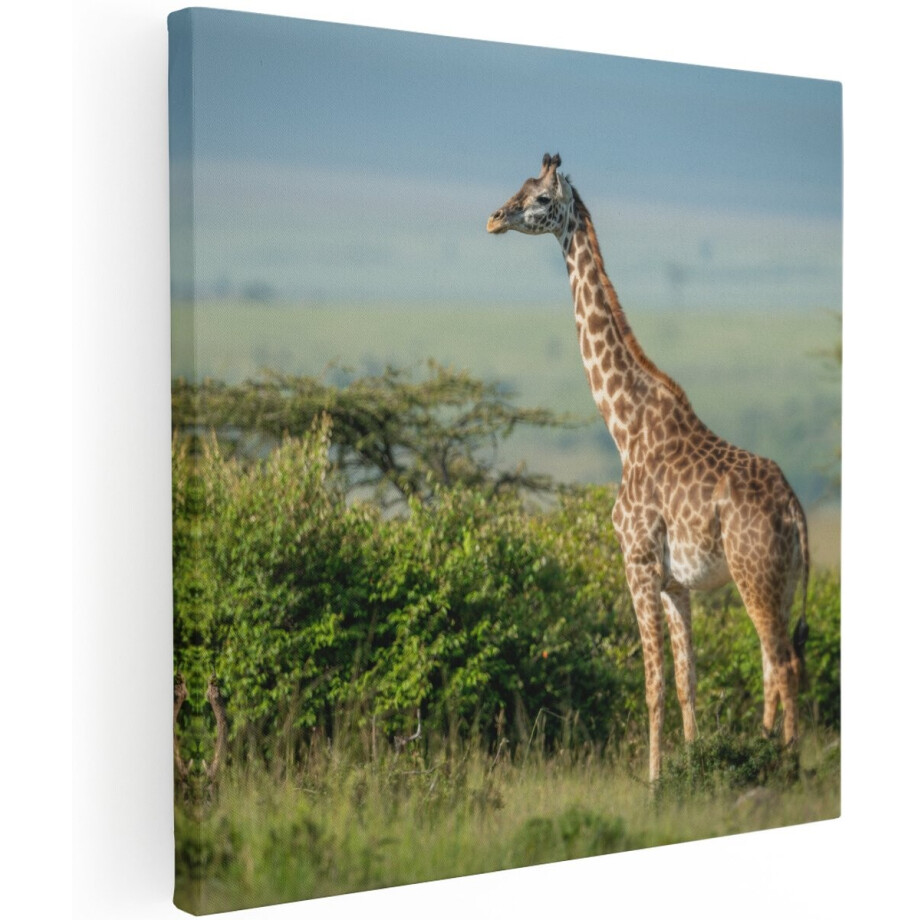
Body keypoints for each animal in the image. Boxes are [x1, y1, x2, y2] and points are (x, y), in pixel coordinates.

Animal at [487, 154, 809, 782]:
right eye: (519, 187)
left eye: (540, 200)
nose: (493, 219)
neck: (624, 427)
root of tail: (795, 508)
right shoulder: (674, 583)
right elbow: (686, 682)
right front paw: (692, 767)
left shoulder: (636, 563)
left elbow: (652, 682)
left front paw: (655, 781)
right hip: (778, 582)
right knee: (773, 664)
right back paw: (767, 753)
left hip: (754, 574)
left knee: (783, 665)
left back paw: (786, 767)